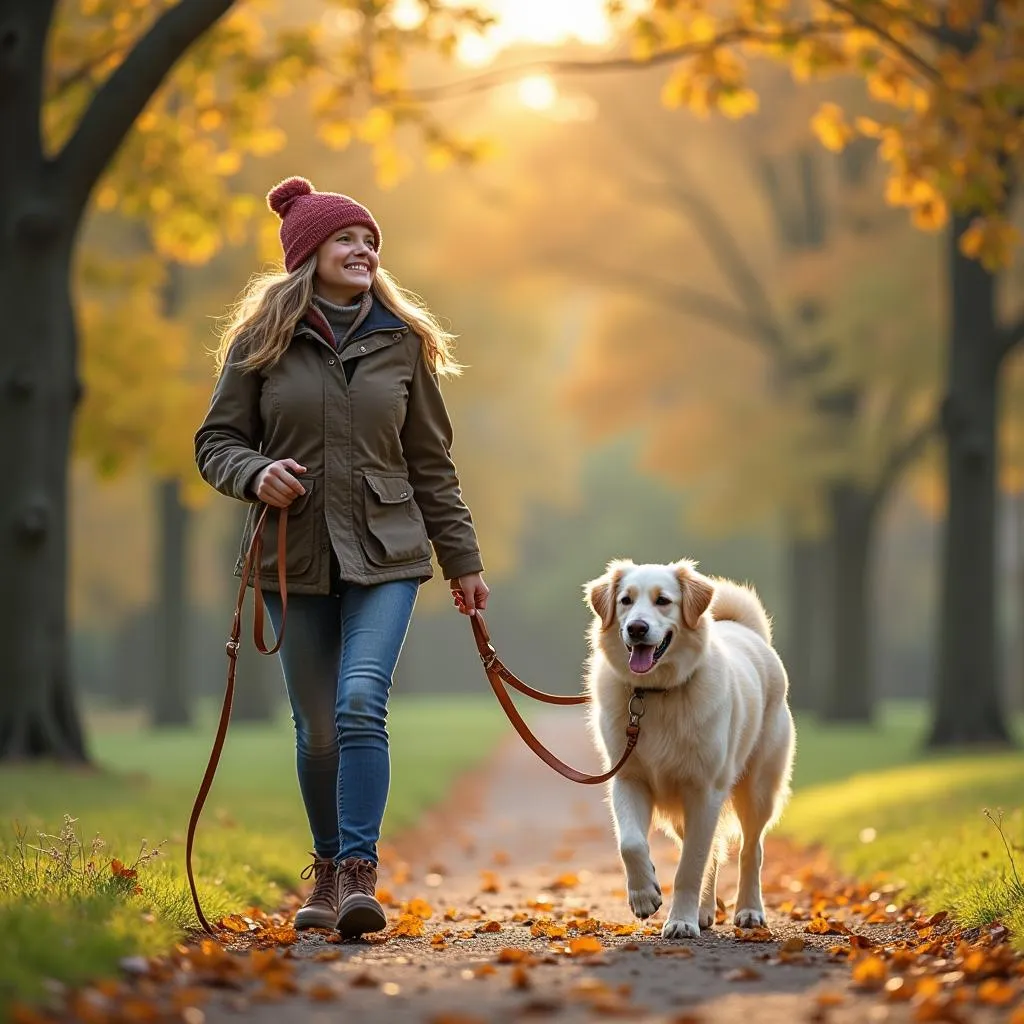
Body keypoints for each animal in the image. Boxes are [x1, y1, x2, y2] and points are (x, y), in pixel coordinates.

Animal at [581, 557, 794, 937]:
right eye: (625, 600)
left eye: (663, 601)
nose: (636, 628)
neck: (655, 694)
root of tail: (748, 632)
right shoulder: (629, 779)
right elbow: (631, 843)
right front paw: (644, 896)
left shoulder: (704, 792)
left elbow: (690, 866)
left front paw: (680, 921)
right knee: (716, 851)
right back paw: (705, 911)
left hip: (757, 790)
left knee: (750, 851)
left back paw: (749, 910)